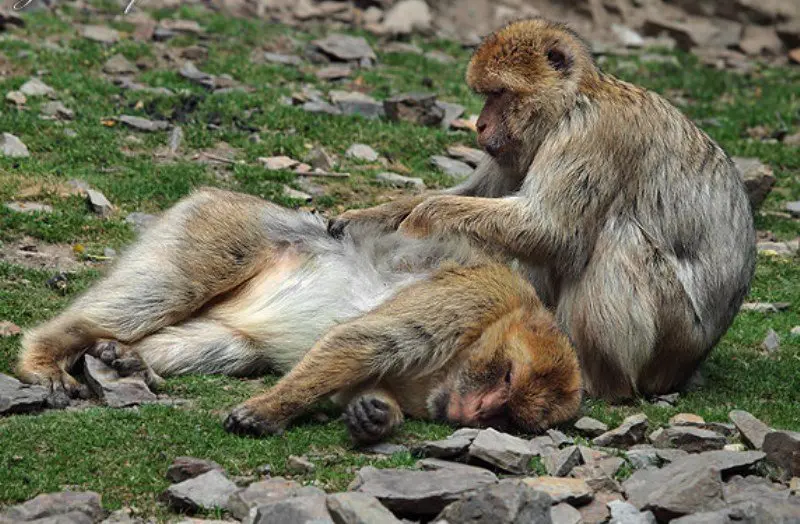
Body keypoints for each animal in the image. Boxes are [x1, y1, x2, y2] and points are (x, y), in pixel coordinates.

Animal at [16, 187, 582, 442]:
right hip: (222, 230)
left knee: (230, 346)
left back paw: (131, 360)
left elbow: (359, 381)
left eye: (506, 418)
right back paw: (45, 355)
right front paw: (266, 412)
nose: (475, 413)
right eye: (505, 378)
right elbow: (362, 340)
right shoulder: (474, 298)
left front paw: (375, 414)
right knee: (162, 291)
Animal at [329, 18, 756, 402]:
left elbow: (552, 230)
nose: (480, 125)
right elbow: (480, 194)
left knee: (617, 235)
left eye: (499, 92)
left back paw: (602, 382)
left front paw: (419, 222)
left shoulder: (591, 133)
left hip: (674, 340)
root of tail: (692, 364)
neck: (572, 103)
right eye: (486, 94)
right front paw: (365, 219)